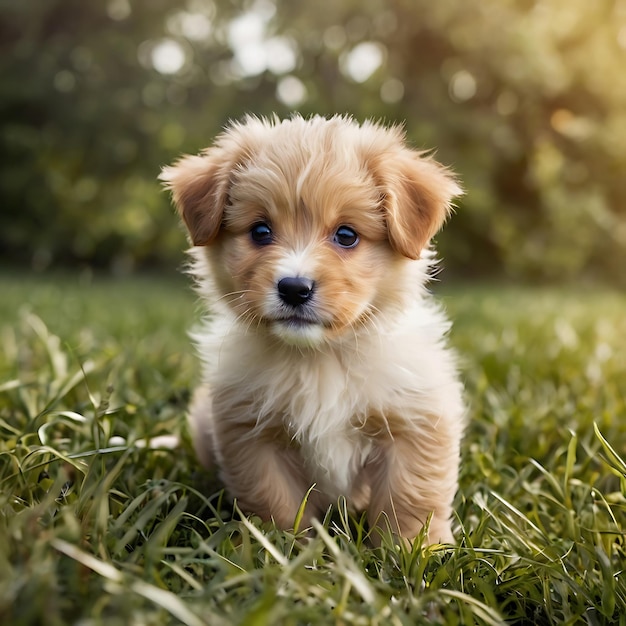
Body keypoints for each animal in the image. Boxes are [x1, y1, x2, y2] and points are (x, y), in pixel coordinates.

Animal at [161, 116, 464, 540]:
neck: (320, 358)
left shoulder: (415, 423)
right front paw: (283, 548)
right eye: (260, 231)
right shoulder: (253, 436)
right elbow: (275, 503)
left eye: (346, 235)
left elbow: (409, 500)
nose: (294, 288)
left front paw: (414, 550)